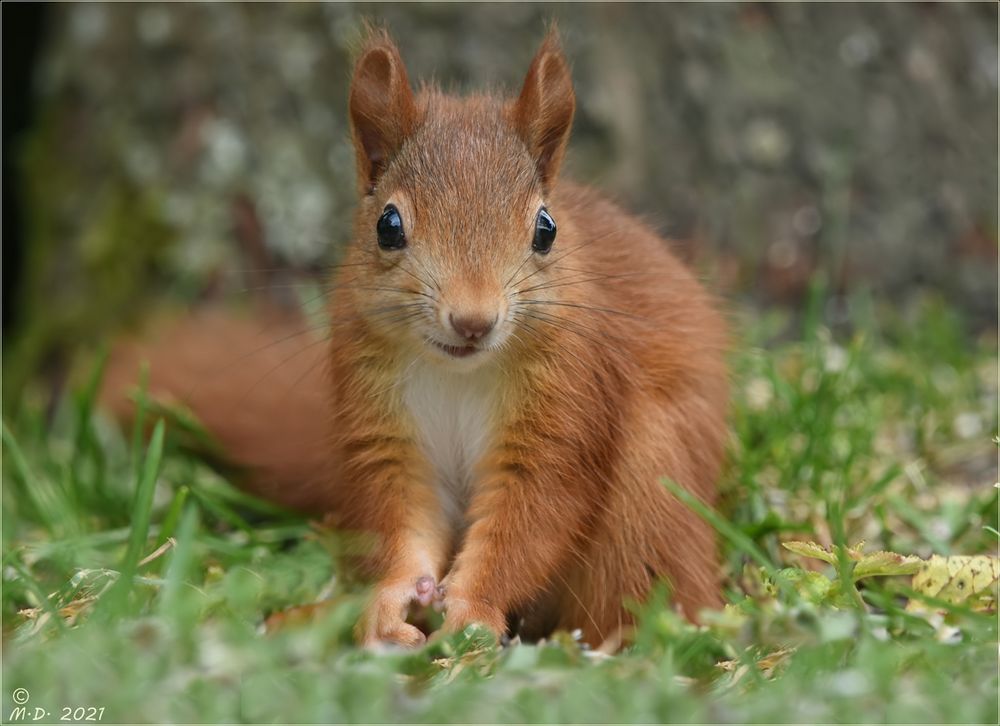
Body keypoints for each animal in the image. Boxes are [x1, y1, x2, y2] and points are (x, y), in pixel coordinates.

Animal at [101, 28, 728, 648]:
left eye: (546, 229)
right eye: (388, 225)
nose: (473, 321)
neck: (459, 372)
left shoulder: (570, 400)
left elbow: (533, 514)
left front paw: (472, 610)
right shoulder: (382, 418)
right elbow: (401, 510)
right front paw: (389, 602)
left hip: (650, 486)